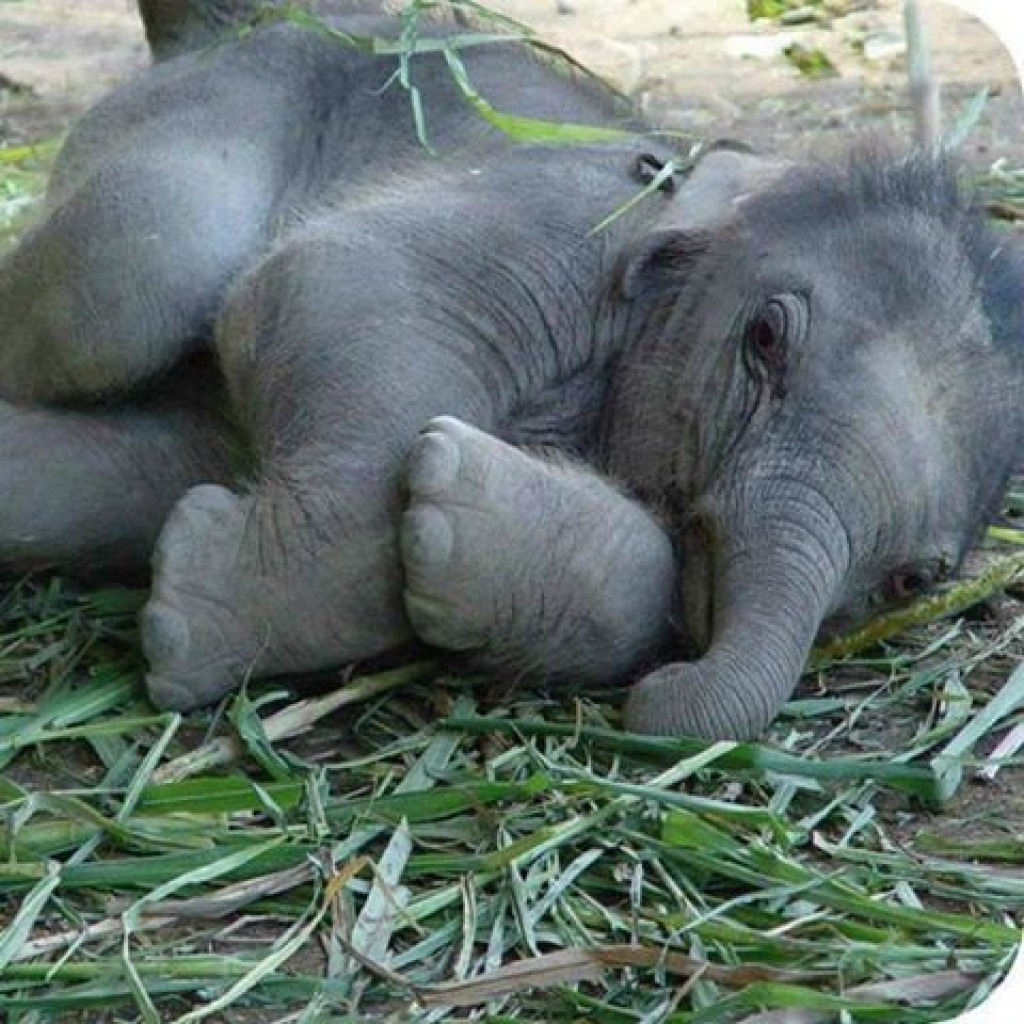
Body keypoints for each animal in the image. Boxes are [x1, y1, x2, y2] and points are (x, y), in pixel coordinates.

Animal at [1, 0, 1021, 740]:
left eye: (912, 582)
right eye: (765, 337)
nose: (665, 693)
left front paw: (451, 514)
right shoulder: (559, 221)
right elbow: (330, 279)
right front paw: (182, 622)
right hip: (227, 96)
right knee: (129, 277)